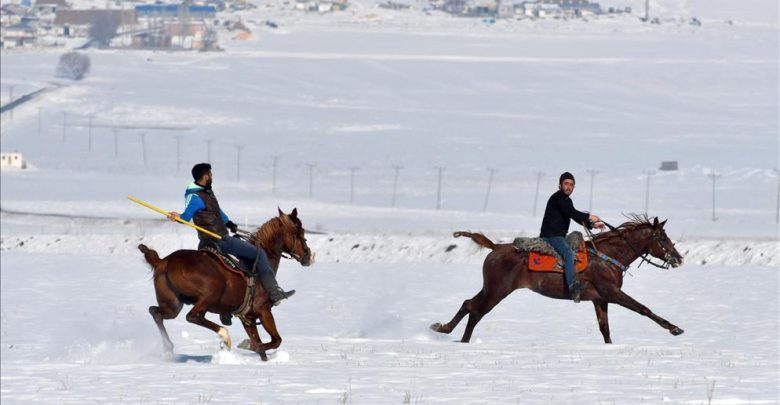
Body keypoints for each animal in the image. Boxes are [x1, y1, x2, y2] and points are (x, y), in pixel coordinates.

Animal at [139, 208, 312, 360]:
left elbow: (262, 348)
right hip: (210, 295)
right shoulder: (264, 311)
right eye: (300, 231)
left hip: (173, 304)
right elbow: (275, 340)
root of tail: (163, 261)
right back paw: (224, 335)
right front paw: (248, 345)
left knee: (156, 312)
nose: (308, 255)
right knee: (192, 316)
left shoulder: (247, 318)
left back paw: (169, 348)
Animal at [432, 216, 684, 342]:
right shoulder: (612, 293)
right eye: (662, 237)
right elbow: (643, 309)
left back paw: (443, 328)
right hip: (498, 290)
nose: (679, 258)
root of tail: (495, 247)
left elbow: (605, 329)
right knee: (476, 312)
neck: (608, 256)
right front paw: (674, 328)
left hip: (490, 288)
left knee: (468, 304)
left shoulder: (600, 299)